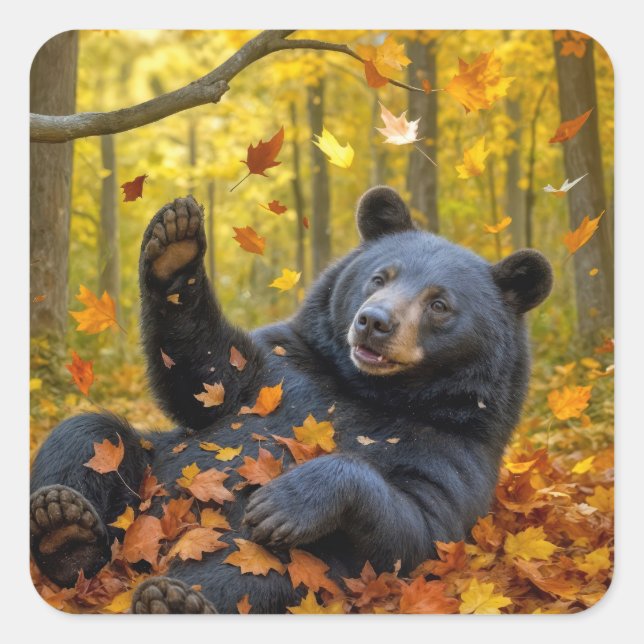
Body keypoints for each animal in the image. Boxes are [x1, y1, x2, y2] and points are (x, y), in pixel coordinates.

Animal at [30, 187, 553, 614]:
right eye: (379, 278)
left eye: (439, 304)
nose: (373, 322)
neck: (367, 389)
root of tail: (138, 557)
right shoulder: (283, 367)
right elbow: (207, 375)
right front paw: (175, 241)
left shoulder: (451, 448)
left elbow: (415, 529)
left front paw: (284, 501)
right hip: (143, 476)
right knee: (86, 436)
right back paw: (64, 526)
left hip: (300, 563)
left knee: (252, 571)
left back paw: (173, 599)